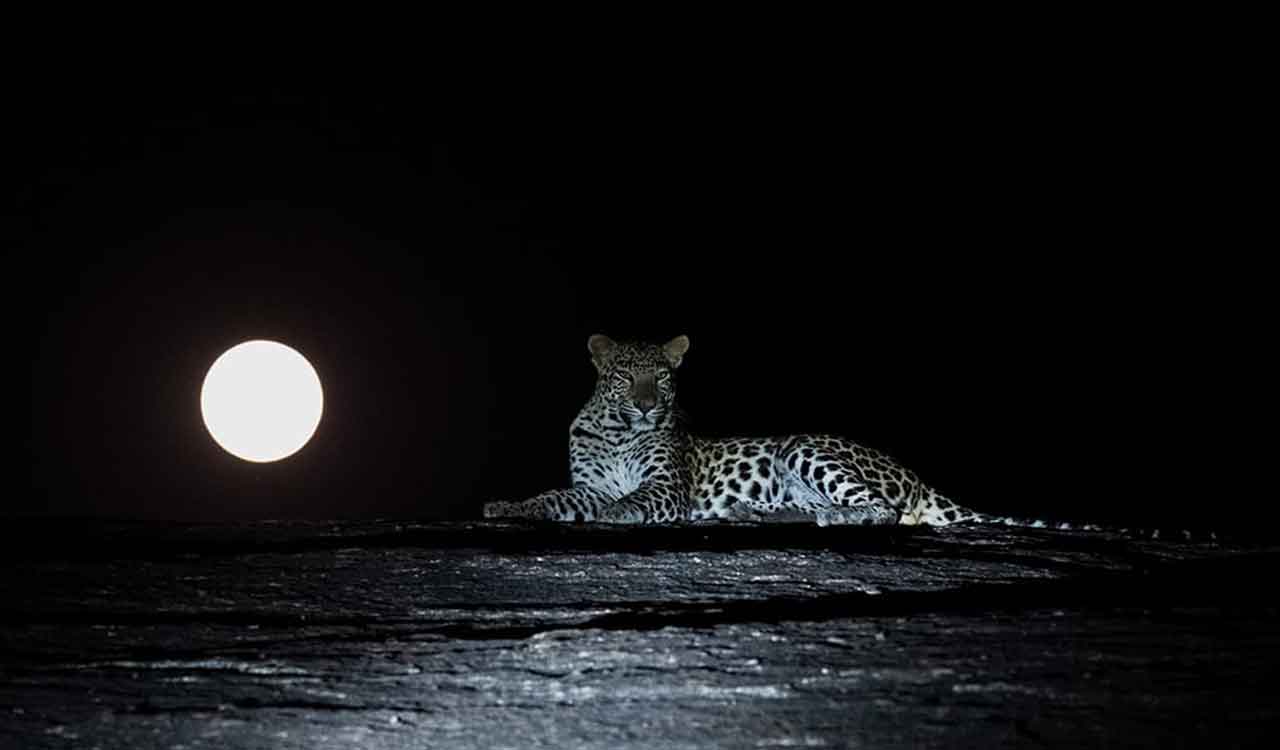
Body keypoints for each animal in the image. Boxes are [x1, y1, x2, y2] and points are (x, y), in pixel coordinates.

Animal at [482, 334, 1096, 530]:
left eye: (662, 377)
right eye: (624, 377)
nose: (647, 406)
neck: (615, 430)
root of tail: (916, 476)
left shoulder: (666, 488)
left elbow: (632, 500)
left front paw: (614, 515)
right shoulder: (587, 485)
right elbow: (553, 497)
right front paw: (509, 506)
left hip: (804, 446)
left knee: (879, 510)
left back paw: (825, 516)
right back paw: (753, 512)